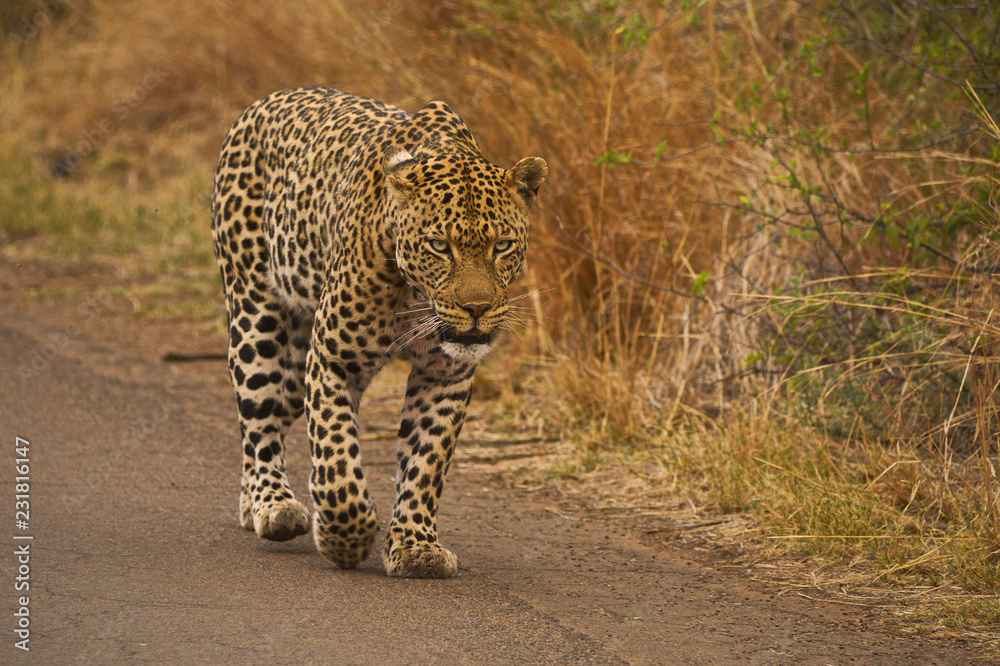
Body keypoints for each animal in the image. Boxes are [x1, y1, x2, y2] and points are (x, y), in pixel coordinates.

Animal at [211, 87, 546, 578]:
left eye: (502, 246)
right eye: (439, 247)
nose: (477, 309)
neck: (416, 299)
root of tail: (264, 101)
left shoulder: (444, 376)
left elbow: (425, 464)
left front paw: (415, 546)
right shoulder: (333, 360)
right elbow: (335, 457)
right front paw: (345, 538)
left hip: (295, 362)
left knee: (274, 413)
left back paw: (248, 503)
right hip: (256, 316)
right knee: (258, 419)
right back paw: (273, 506)